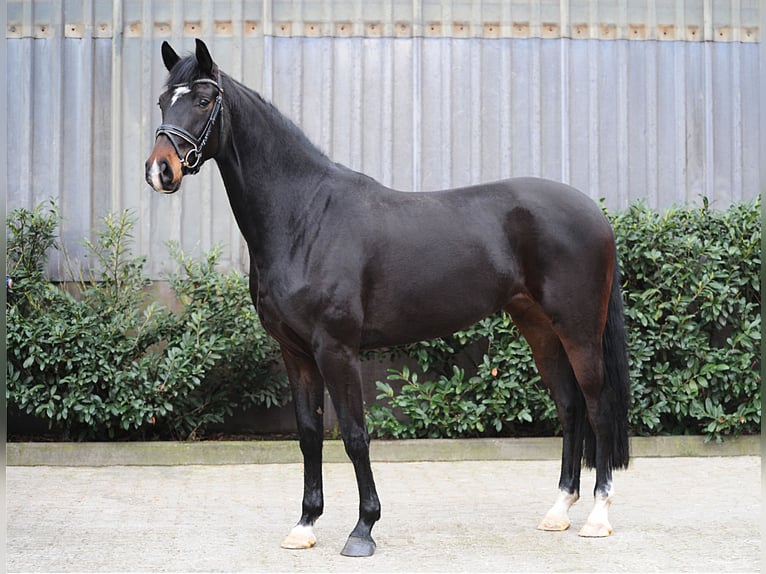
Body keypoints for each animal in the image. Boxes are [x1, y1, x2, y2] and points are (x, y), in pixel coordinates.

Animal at [147, 39, 632, 560]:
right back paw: (559, 511)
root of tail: (594, 213)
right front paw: (305, 524)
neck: (305, 216)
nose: (160, 170)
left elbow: (355, 435)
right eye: (162, 101)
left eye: (202, 100)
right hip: (540, 329)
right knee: (570, 406)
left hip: (579, 328)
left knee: (598, 406)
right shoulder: (295, 352)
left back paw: (598, 518)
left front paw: (363, 528)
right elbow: (309, 435)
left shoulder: (337, 350)